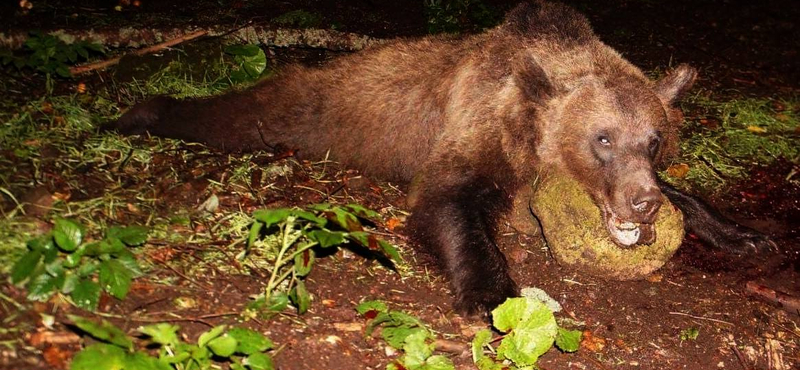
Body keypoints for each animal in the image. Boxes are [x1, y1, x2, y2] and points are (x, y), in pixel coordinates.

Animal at [111, 2, 768, 316]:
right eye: (602, 138)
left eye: (653, 139)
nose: (641, 202)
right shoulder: (480, 133)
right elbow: (445, 203)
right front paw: (493, 291)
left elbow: (693, 197)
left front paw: (742, 233)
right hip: (301, 107)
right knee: (238, 111)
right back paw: (140, 110)